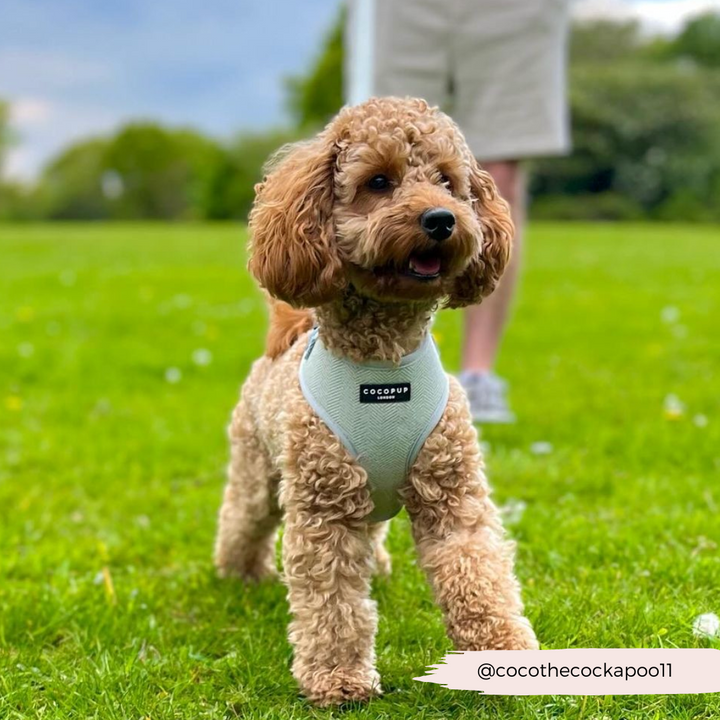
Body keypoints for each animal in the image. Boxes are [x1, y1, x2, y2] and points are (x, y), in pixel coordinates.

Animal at [217, 97, 536, 708]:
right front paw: (339, 678)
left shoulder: (454, 497)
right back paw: (237, 574)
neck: (384, 368)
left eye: (447, 181)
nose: (441, 219)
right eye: (379, 182)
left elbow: (478, 573)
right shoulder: (324, 511)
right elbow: (334, 605)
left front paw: (504, 655)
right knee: (241, 520)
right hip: (259, 474)